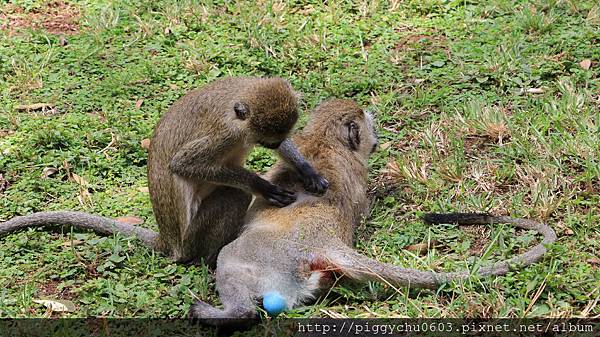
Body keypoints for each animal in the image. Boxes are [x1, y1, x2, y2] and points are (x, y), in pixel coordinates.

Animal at [0, 77, 328, 268]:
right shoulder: (223, 133)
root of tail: (170, 242)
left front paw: (307, 170)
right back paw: (210, 260)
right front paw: (261, 185)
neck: (240, 100)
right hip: (192, 237)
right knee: (233, 195)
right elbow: (183, 164)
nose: (274, 144)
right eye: (265, 142)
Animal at [189, 98, 556, 324]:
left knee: (231, 263)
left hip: (264, 256)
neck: (326, 138)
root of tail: (324, 241)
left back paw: (230, 313)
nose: (377, 138)